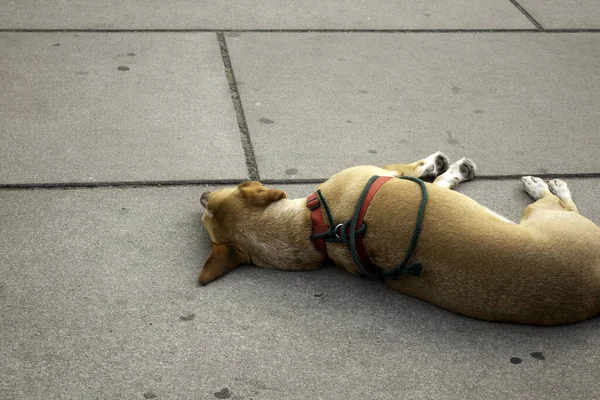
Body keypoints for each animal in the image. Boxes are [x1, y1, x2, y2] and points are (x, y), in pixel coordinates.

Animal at [198, 152, 600, 324]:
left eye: (211, 204)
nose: (200, 195)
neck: (316, 229)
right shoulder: (389, 171)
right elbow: (422, 170)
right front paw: (444, 165)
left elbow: (436, 182)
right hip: (543, 217)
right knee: (561, 204)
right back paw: (546, 185)